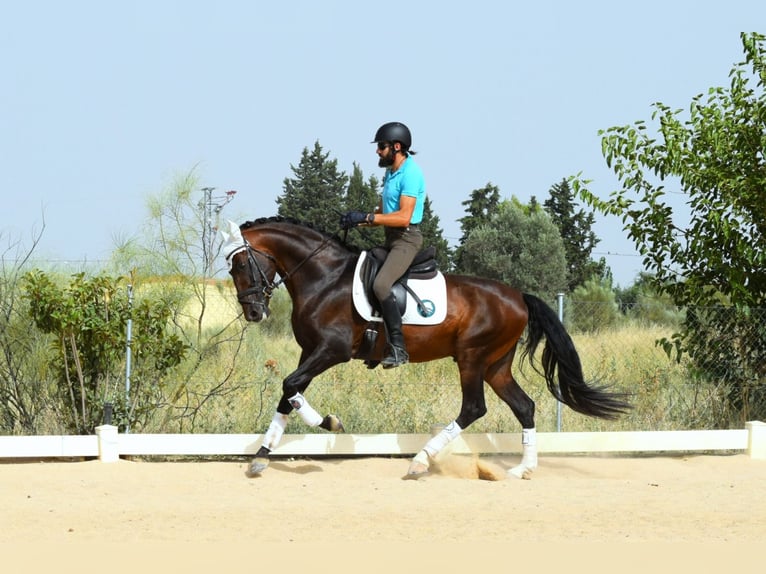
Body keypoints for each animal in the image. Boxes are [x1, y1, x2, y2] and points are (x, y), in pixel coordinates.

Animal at [222, 218, 632, 480]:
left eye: (241, 263)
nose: (254, 312)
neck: (324, 278)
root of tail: (518, 296)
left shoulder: (331, 350)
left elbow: (290, 386)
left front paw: (330, 422)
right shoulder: (310, 351)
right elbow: (288, 393)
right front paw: (261, 457)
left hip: (471, 358)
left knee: (473, 408)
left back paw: (420, 461)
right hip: (496, 365)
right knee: (524, 406)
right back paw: (522, 468)